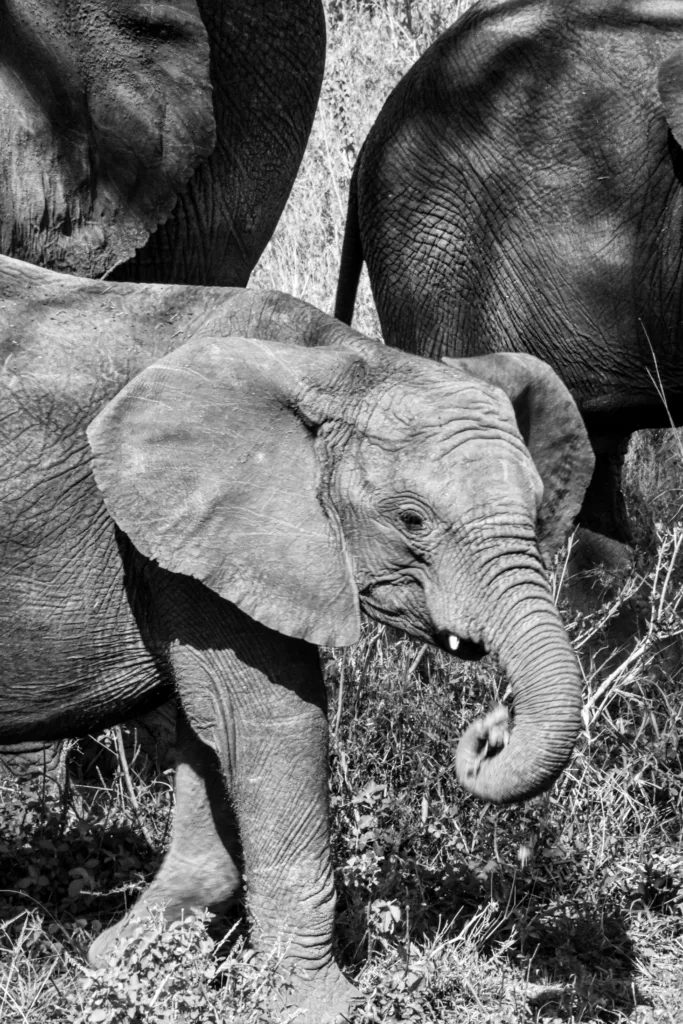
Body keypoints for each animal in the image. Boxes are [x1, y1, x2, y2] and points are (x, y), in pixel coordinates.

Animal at [0, 256, 593, 1024]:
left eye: (537, 510)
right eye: (411, 520)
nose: (490, 728)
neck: (339, 363)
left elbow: (214, 738)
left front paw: (120, 962)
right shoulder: (197, 529)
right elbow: (271, 725)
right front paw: (323, 1007)